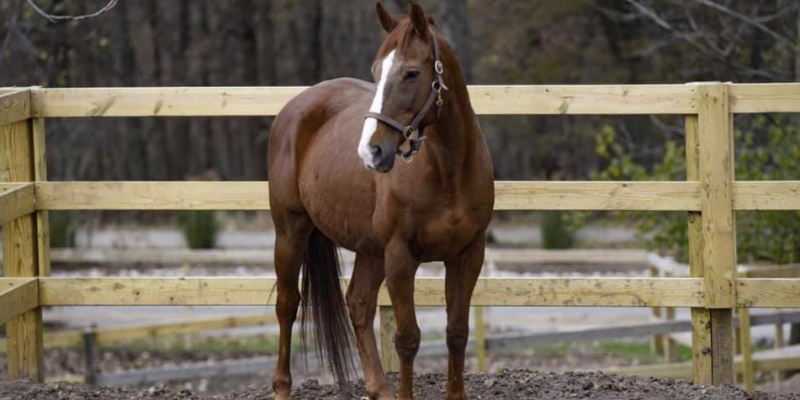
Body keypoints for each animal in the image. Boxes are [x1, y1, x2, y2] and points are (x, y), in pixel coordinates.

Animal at [268, 3, 494, 400]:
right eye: (376, 71)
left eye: (412, 72)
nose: (370, 151)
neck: (448, 171)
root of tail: (296, 107)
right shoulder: (400, 257)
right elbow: (407, 339)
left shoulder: (468, 254)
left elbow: (456, 332)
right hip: (291, 230)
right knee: (287, 303)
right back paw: (282, 387)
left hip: (369, 248)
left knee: (358, 303)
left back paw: (378, 388)